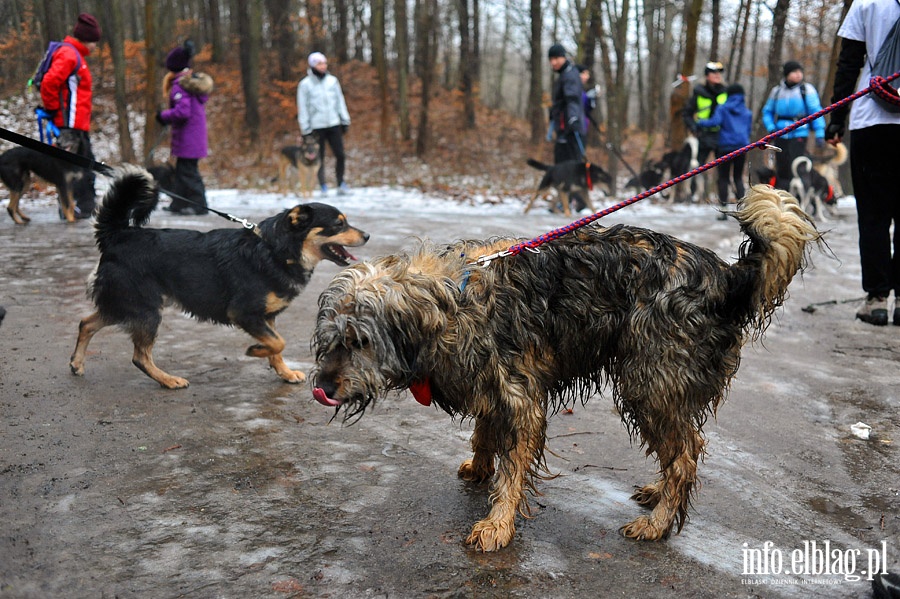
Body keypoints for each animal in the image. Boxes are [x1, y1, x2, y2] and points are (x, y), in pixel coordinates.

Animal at [68, 165, 368, 390]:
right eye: (339, 224)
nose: (366, 235)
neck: (275, 250)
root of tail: (117, 235)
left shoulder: (267, 316)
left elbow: (277, 346)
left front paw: (283, 372)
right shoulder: (245, 313)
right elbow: (278, 342)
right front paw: (256, 351)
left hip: (125, 305)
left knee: (86, 323)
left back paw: (77, 363)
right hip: (146, 310)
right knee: (139, 357)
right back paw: (168, 380)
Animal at [312, 185, 820, 552]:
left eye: (359, 342)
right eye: (331, 341)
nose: (323, 387)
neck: (451, 300)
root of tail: (726, 278)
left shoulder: (520, 396)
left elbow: (513, 467)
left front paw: (497, 524)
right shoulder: (491, 386)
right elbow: (484, 431)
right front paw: (479, 466)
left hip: (649, 381)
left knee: (684, 456)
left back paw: (656, 525)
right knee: (687, 448)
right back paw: (657, 494)